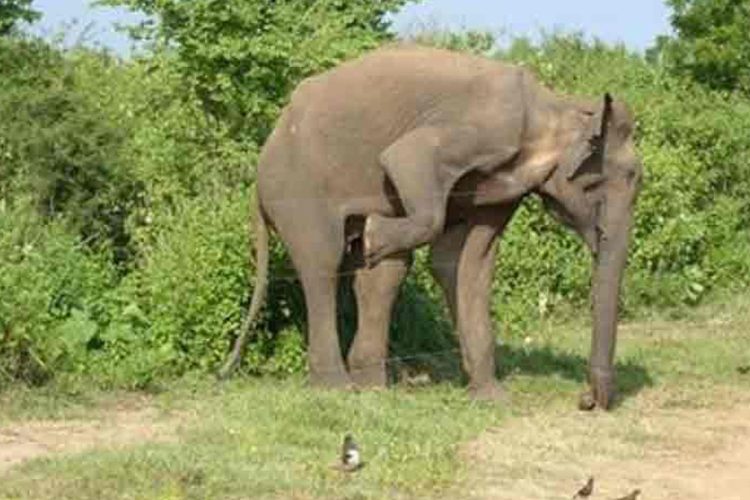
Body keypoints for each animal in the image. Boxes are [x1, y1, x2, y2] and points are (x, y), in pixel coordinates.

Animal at [219, 44, 643, 411]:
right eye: (599, 187)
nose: (586, 400)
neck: (555, 106)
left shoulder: (501, 190)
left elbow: (466, 263)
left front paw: (492, 399)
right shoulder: (485, 127)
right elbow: (403, 157)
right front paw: (374, 234)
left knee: (384, 274)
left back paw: (372, 385)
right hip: (297, 189)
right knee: (322, 264)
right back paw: (338, 387)